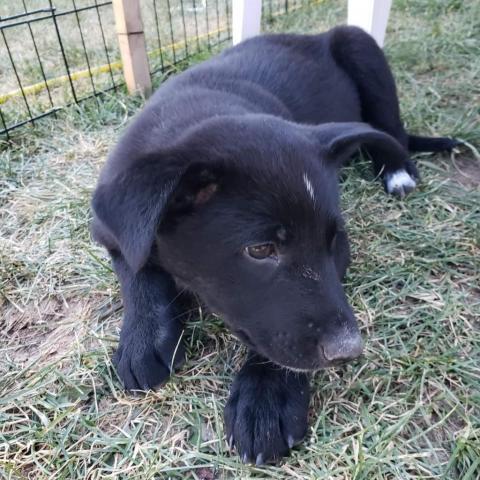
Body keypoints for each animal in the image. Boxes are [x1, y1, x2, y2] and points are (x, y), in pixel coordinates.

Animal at [92, 27, 456, 464]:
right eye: (261, 250)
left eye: (331, 243)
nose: (349, 350)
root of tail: (311, 34)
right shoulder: (111, 228)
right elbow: (138, 272)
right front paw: (144, 339)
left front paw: (268, 398)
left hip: (360, 46)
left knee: (393, 135)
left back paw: (398, 171)